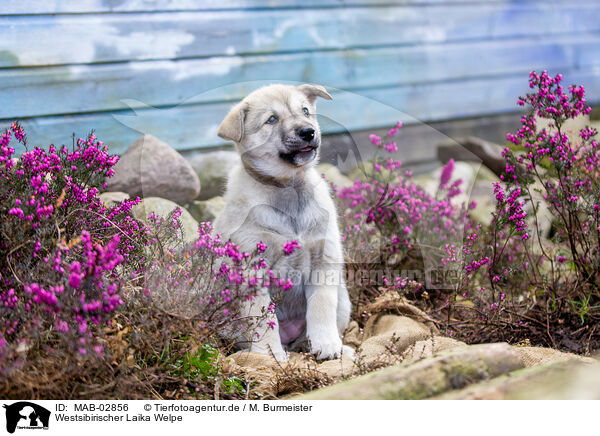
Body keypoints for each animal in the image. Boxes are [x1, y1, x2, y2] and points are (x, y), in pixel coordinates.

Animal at [214, 82, 352, 362]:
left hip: (344, 298)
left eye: (305, 111)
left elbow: (321, 306)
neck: (288, 186)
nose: (308, 132)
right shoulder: (253, 268)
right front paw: (270, 353)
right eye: (272, 119)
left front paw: (327, 344)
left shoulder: (324, 256)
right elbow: (264, 319)